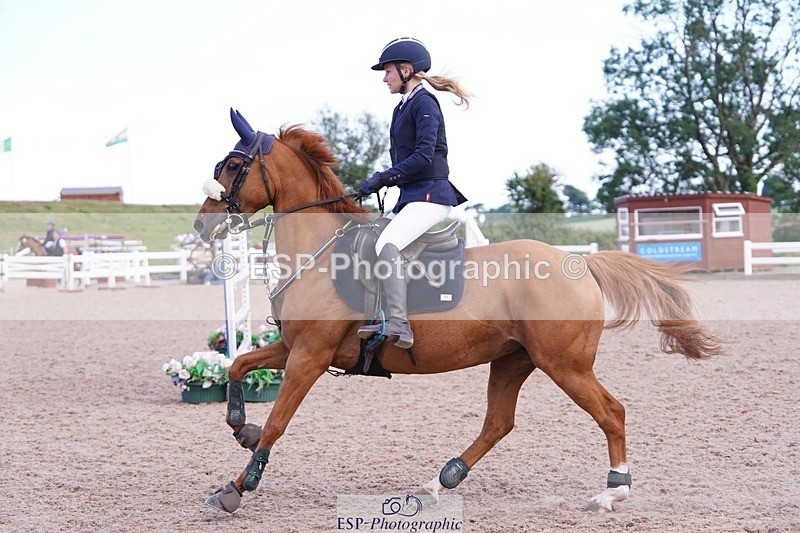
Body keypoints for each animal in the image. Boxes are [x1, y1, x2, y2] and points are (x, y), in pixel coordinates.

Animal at [193, 109, 722, 514]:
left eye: (234, 164)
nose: (201, 224)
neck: (320, 253)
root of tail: (578, 262)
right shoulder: (295, 346)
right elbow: (239, 365)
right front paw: (241, 426)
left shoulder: (311, 356)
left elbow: (279, 421)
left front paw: (238, 486)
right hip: (513, 359)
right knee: (498, 423)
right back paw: (439, 481)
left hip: (564, 364)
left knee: (611, 412)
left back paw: (613, 492)